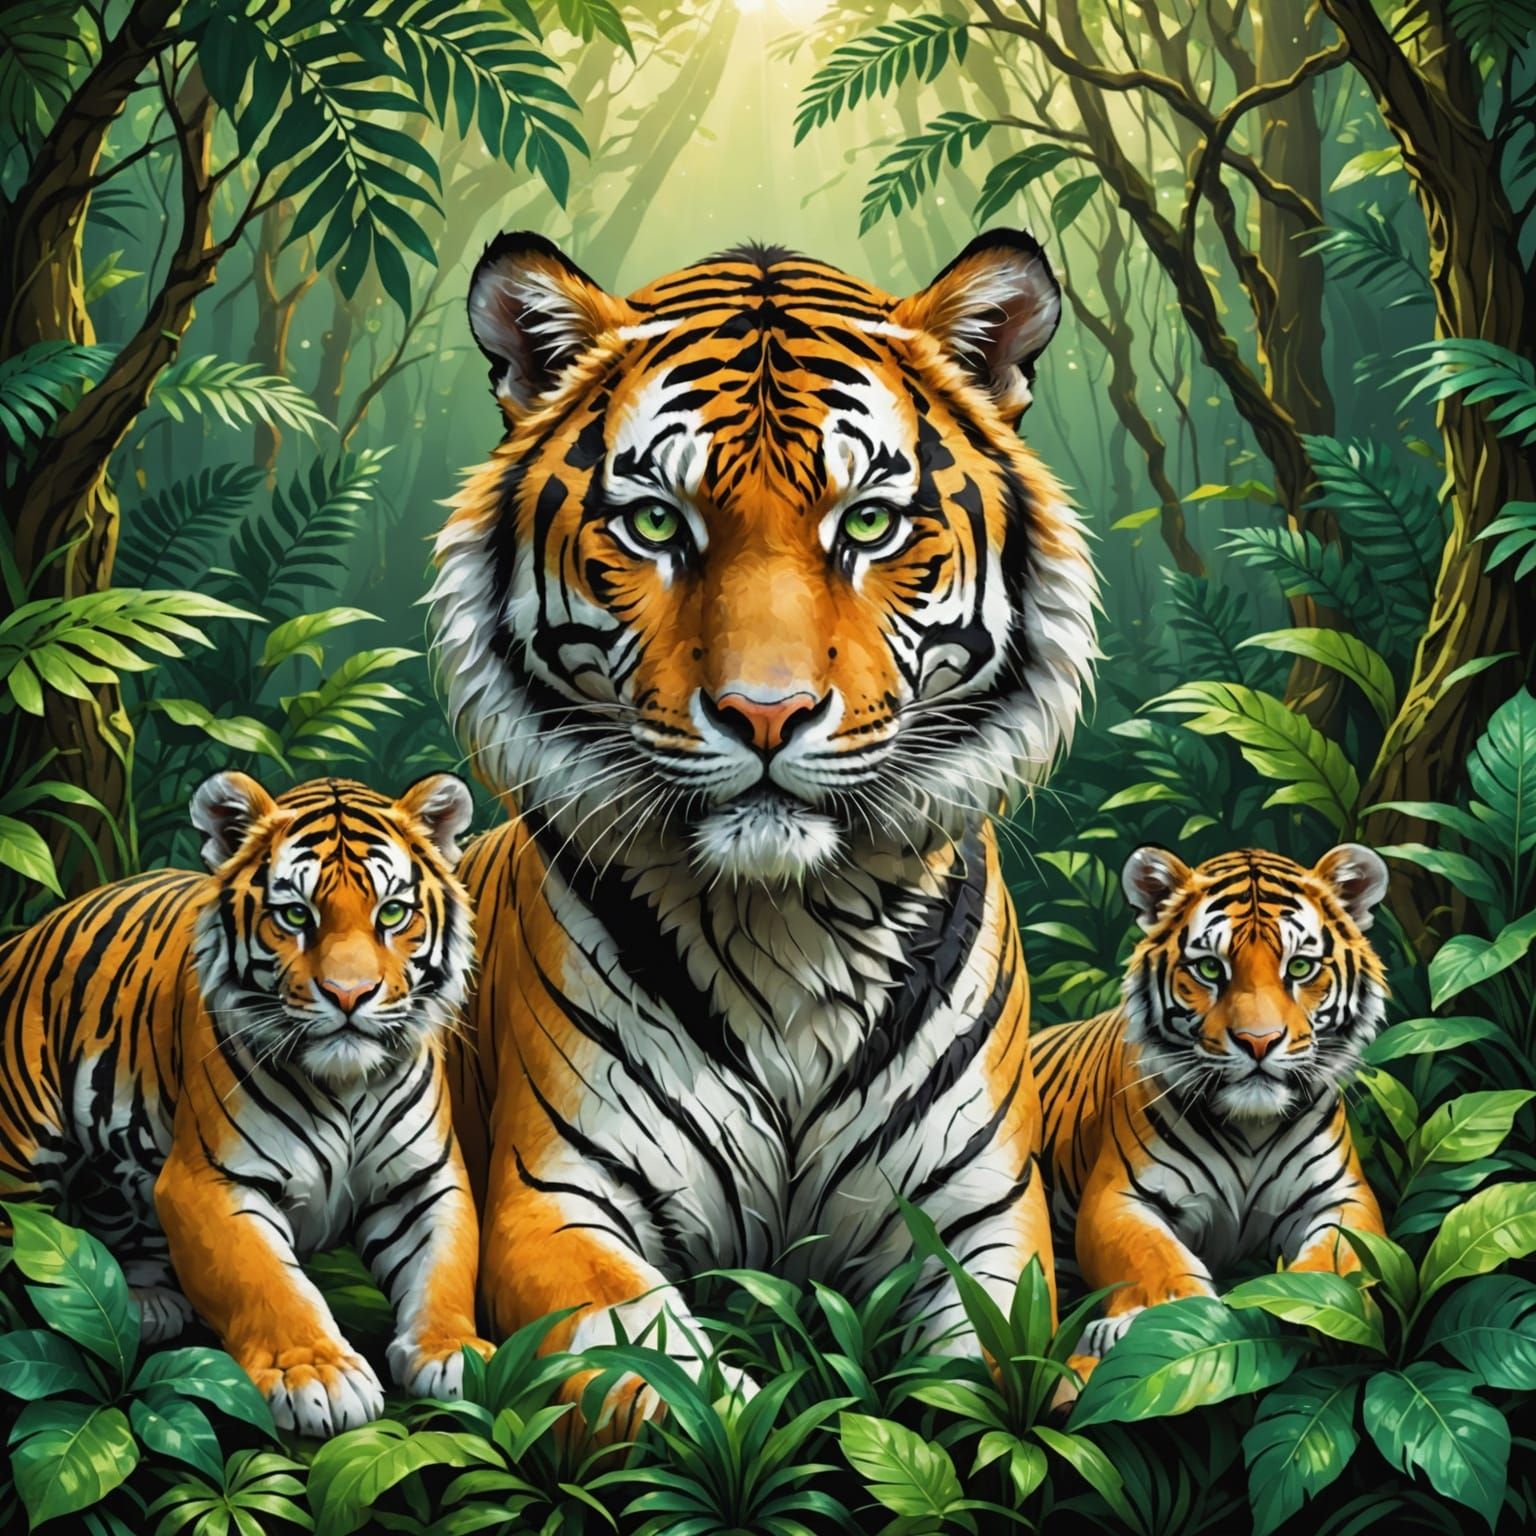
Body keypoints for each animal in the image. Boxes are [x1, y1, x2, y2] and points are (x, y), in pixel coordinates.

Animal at [0, 773, 492, 1437]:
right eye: (295, 915)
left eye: (392, 912)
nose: (349, 995)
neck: (344, 1087)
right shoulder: (211, 1181)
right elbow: (267, 1283)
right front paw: (318, 1375)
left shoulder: (427, 1181)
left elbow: (444, 1269)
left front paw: (457, 1352)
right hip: (19, 1152)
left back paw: (146, 1302)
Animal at [428, 227, 1098, 1408]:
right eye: (656, 521)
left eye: (868, 521)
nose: (766, 712)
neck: (788, 923)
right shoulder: (553, 1203)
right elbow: (672, 1383)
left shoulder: (986, 1217)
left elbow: (984, 1384)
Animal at [1030, 843, 1391, 1380]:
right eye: (1210, 969)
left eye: (1299, 968)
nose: (1258, 1041)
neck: (1250, 1127)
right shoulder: (1119, 1198)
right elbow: (1156, 1258)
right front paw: (1156, 1324)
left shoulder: (1341, 1196)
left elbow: (1334, 1260)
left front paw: (1304, 1303)